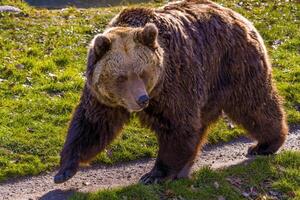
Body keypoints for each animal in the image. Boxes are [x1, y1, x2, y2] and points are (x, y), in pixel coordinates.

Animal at [54, 0, 288, 184]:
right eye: (121, 77)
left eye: (143, 73)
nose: (142, 99)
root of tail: (239, 15)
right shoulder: (102, 98)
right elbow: (91, 125)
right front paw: (64, 170)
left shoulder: (174, 82)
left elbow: (177, 125)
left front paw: (154, 174)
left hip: (233, 64)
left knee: (254, 105)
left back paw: (265, 144)